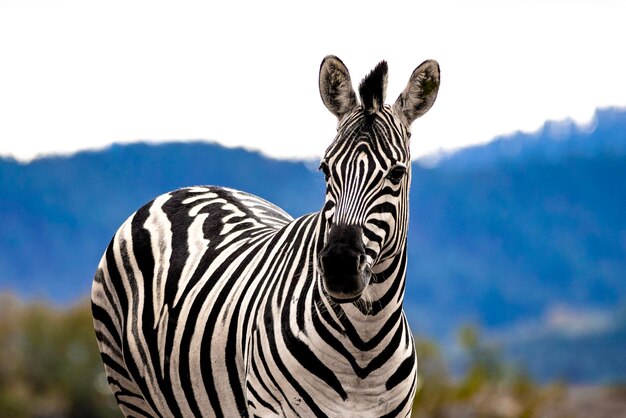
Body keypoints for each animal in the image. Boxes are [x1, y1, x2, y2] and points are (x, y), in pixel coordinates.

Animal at [91, 56, 438, 418]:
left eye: (397, 173)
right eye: (325, 170)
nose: (339, 267)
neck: (364, 345)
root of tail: (183, 189)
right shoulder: (267, 406)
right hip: (129, 389)